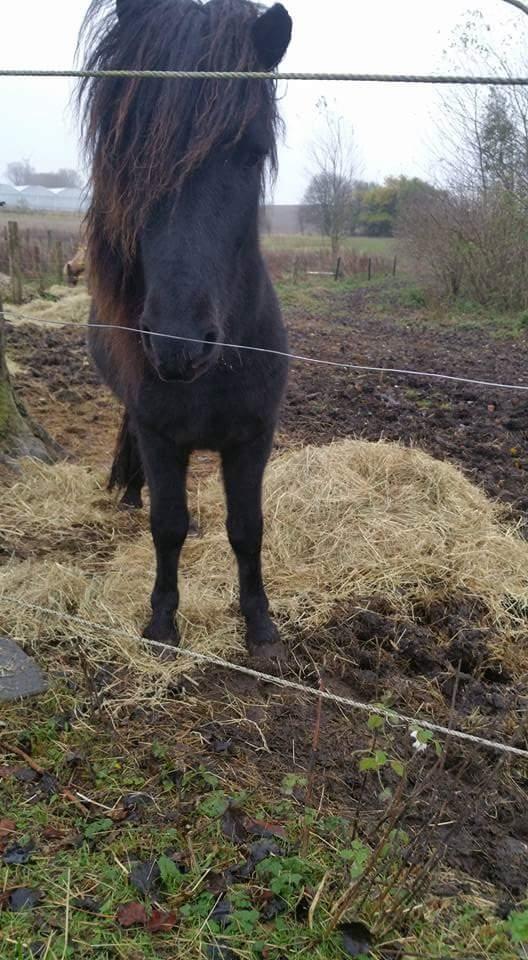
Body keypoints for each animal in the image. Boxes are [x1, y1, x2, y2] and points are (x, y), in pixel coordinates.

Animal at [78, 0, 292, 652]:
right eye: (126, 151)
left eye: (251, 152)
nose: (178, 345)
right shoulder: (160, 434)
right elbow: (167, 525)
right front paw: (161, 622)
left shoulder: (252, 438)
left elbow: (248, 528)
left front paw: (260, 625)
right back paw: (127, 491)